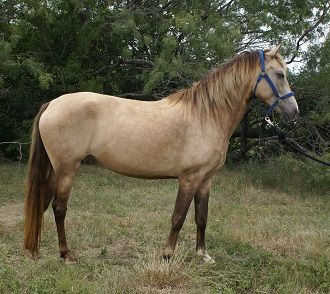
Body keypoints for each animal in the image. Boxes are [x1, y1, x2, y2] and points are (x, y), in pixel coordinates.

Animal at [23, 44, 300, 262]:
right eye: (279, 74)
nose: (293, 111)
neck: (206, 116)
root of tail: (52, 104)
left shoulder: (205, 181)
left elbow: (201, 218)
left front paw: (202, 255)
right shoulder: (189, 178)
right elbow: (178, 217)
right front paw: (167, 255)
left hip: (55, 170)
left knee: (43, 204)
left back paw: (36, 251)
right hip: (67, 169)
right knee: (59, 208)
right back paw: (66, 255)